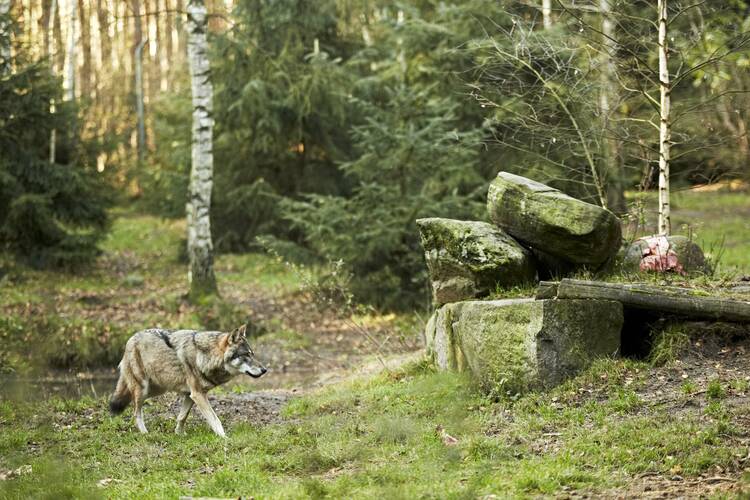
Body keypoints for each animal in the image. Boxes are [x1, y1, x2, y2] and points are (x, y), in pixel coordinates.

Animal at [108, 324, 268, 438]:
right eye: (246, 355)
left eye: (252, 354)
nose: (265, 370)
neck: (206, 355)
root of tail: (130, 339)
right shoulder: (198, 394)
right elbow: (215, 419)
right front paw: (225, 438)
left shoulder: (190, 395)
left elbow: (182, 417)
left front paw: (179, 434)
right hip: (144, 388)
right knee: (136, 411)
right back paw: (144, 433)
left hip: (157, 389)